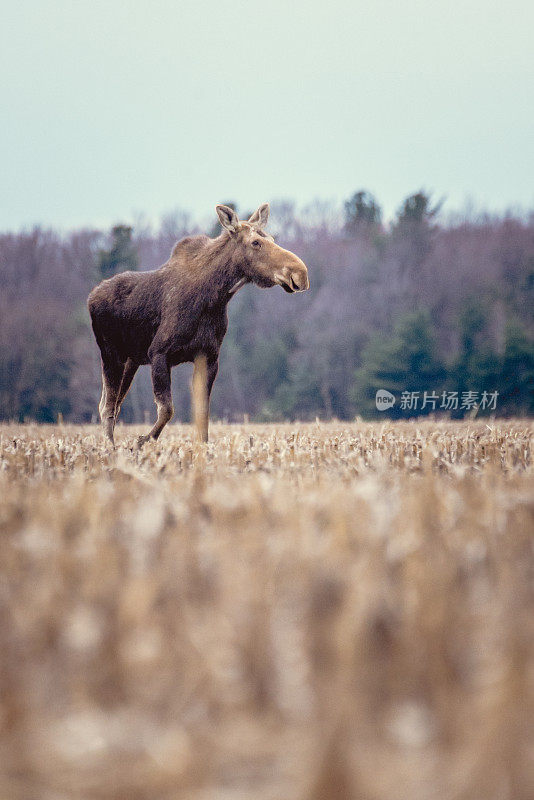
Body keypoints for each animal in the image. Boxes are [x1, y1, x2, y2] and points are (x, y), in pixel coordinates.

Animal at [88, 203, 310, 446]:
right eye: (255, 242)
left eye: (271, 237)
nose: (300, 273)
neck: (214, 298)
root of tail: (92, 296)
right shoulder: (159, 352)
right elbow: (167, 410)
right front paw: (142, 441)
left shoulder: (208, 356)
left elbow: (202, 414)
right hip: (111, 353)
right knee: (108, 406)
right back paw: (110, 447)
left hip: (131, 360)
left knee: (112, 404)